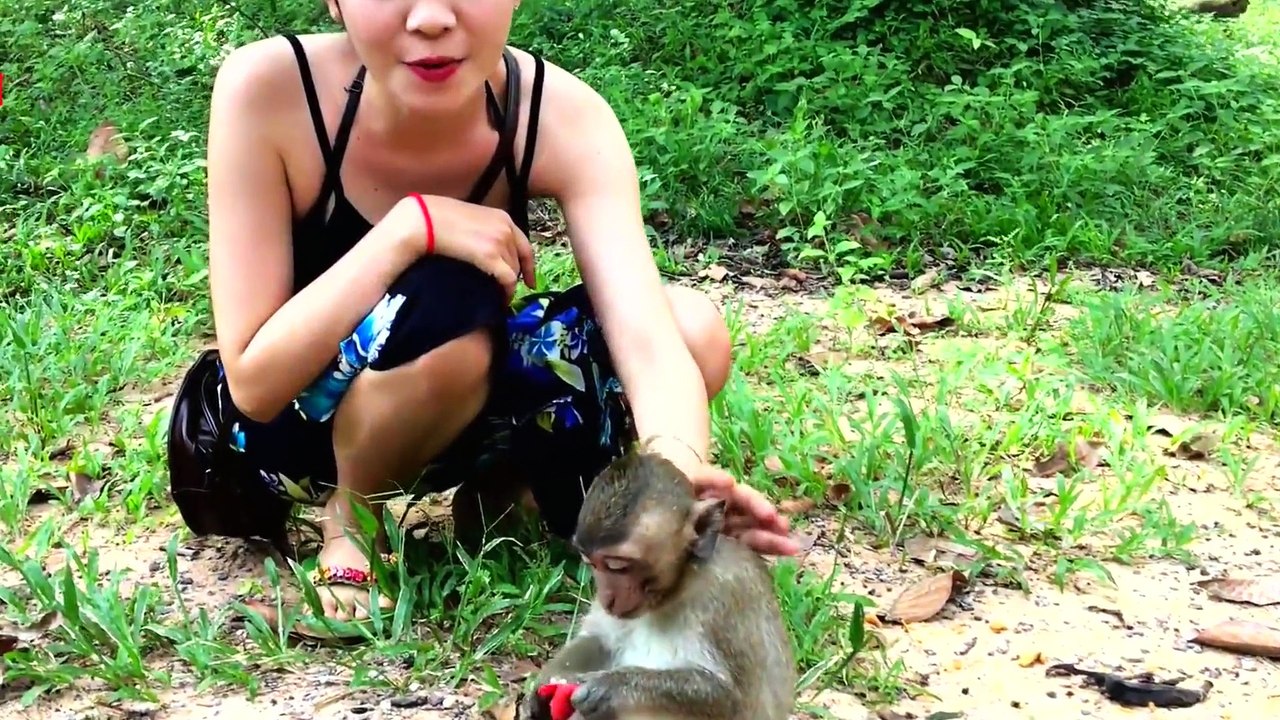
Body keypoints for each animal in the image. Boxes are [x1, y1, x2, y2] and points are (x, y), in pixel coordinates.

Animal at [517, 448, 796, 720]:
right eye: (592, 564)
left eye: (617, 565)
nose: (606, 598)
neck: (679, 587)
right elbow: (600, 640)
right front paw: (544, 684)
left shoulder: (726, 599)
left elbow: (733, 700)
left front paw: (609, 687)